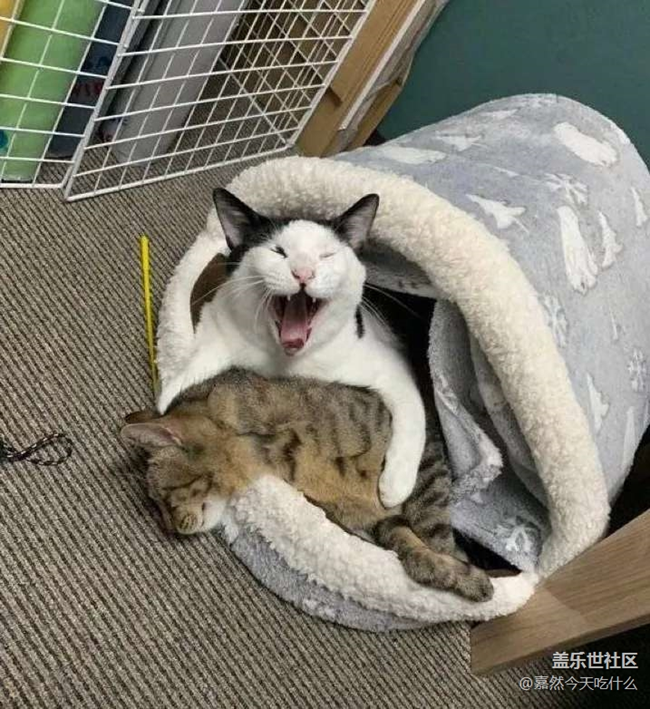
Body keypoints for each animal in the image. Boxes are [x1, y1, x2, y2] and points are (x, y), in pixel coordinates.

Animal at [122, 369, 494, 602]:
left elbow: (433, 526)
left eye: (164, 499)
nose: (170, 529)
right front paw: (459, 576)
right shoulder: (373, 520)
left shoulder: (423, 449)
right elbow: (414, 551)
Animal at [156, 189, 427, 508]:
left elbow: (413, 415)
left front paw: (396, 485)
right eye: (278, 251)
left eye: (327, 255)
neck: (286, 359)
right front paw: (168, 401)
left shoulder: (390, 365)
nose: (303, 273)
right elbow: (191, 371)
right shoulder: (218, 324)